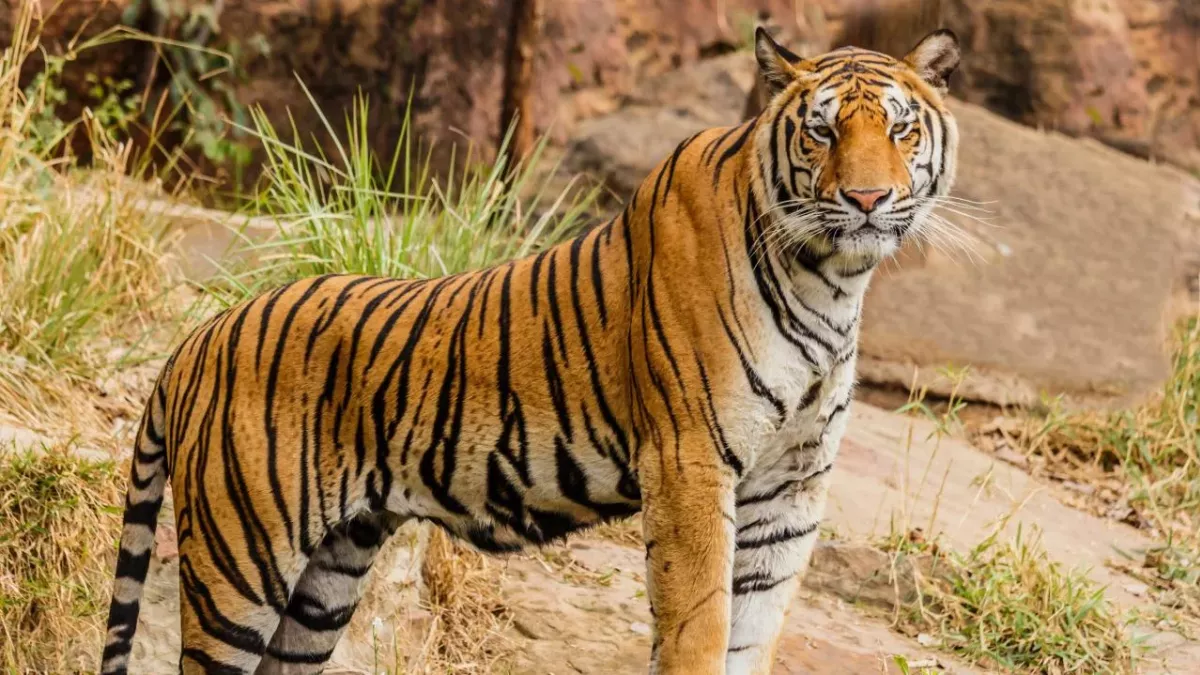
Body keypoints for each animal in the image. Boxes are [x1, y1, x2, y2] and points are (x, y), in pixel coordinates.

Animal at [101, 27, 960, 675]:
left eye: (900, 128)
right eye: (822, 130)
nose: (867, 199)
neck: (832, 280)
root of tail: (197, 338)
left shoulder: (791, 486)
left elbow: (753, 631)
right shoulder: (690, 460)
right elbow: (700, 624)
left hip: (327, 576)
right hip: (240, 560)